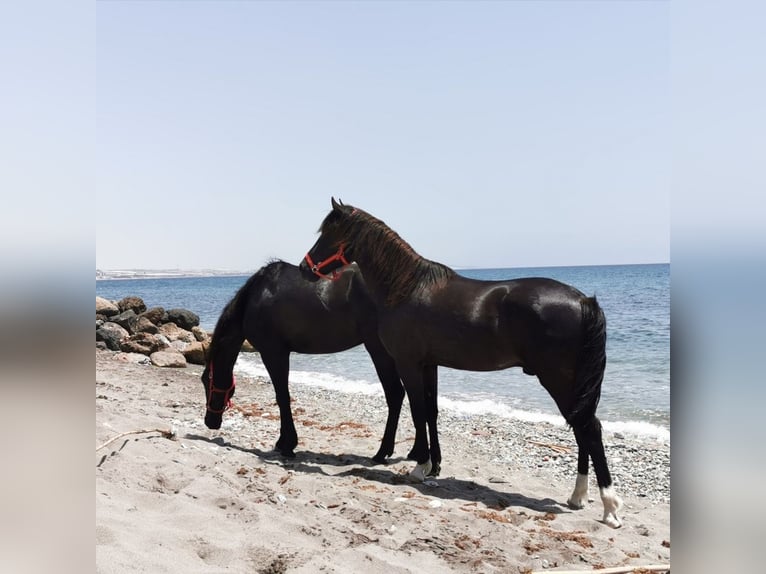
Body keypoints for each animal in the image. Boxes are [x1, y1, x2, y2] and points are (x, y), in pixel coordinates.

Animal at [202, 260, 408, 464]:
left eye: (206, 381)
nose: (209, 422)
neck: (254, 299)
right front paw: (282, 442)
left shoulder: (274, 353)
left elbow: (282, 397)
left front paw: (288, 445)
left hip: (379, 350)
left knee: (395, 394)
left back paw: (382, 452)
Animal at [300, 200, 624, 528]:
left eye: (329, 233)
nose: (303, 268)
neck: (406, 289)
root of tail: (583, 301)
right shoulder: (429, 365)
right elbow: (431, 412)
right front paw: (433, 466)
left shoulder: (408, 363)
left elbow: (418, 411)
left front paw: (419, 466)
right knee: (582, 428)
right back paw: (578, 496)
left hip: (559, 379)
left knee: (589, 429)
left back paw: (609, 507)